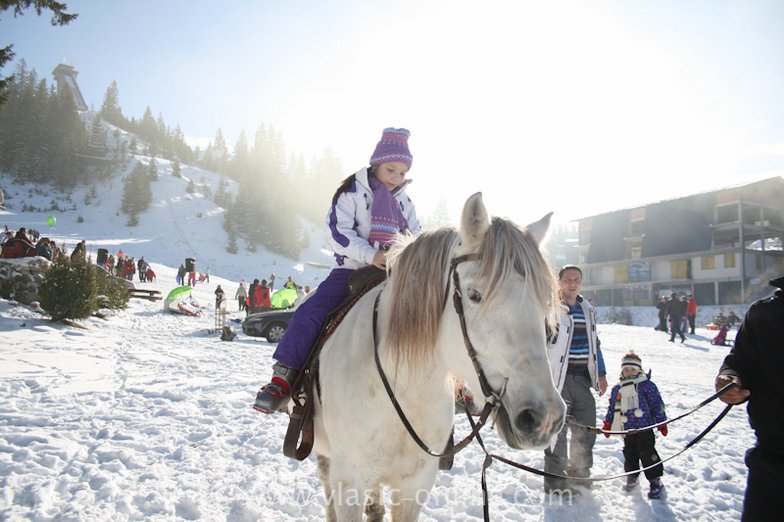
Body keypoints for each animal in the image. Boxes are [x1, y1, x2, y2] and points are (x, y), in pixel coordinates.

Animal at [310, 192, 568, 520]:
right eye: (475, 295)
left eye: (544, 301)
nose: (545, 418)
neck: (403, 390)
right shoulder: (349, 480)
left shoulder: (416, 484)